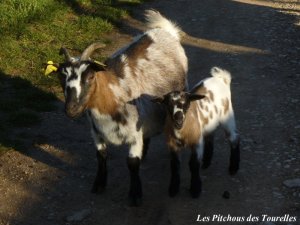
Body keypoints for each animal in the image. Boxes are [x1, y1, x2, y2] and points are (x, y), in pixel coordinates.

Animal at [54, 10, 188, 206]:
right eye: (61, 77)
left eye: (90, 76)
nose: (71, 109)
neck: (112, 98)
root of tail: (165, 30)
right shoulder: (96, 132)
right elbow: (101, 156)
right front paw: (99, 185)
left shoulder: (134, 135)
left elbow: (132, 163)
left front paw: (135, 195)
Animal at [156, 67, 240, 198]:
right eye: (168, 104)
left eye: (186, 104)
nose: (178, 118)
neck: (181, 131)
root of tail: (222, 78)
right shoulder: (172, 145)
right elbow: (175, 166)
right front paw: (173, 188)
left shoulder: (196, 143)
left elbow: (194, 164)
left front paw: (195, 189)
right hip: (209, 123)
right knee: (210, 136)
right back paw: (206, 162)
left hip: (227, 115)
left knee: (234, 137)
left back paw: (233, 168)